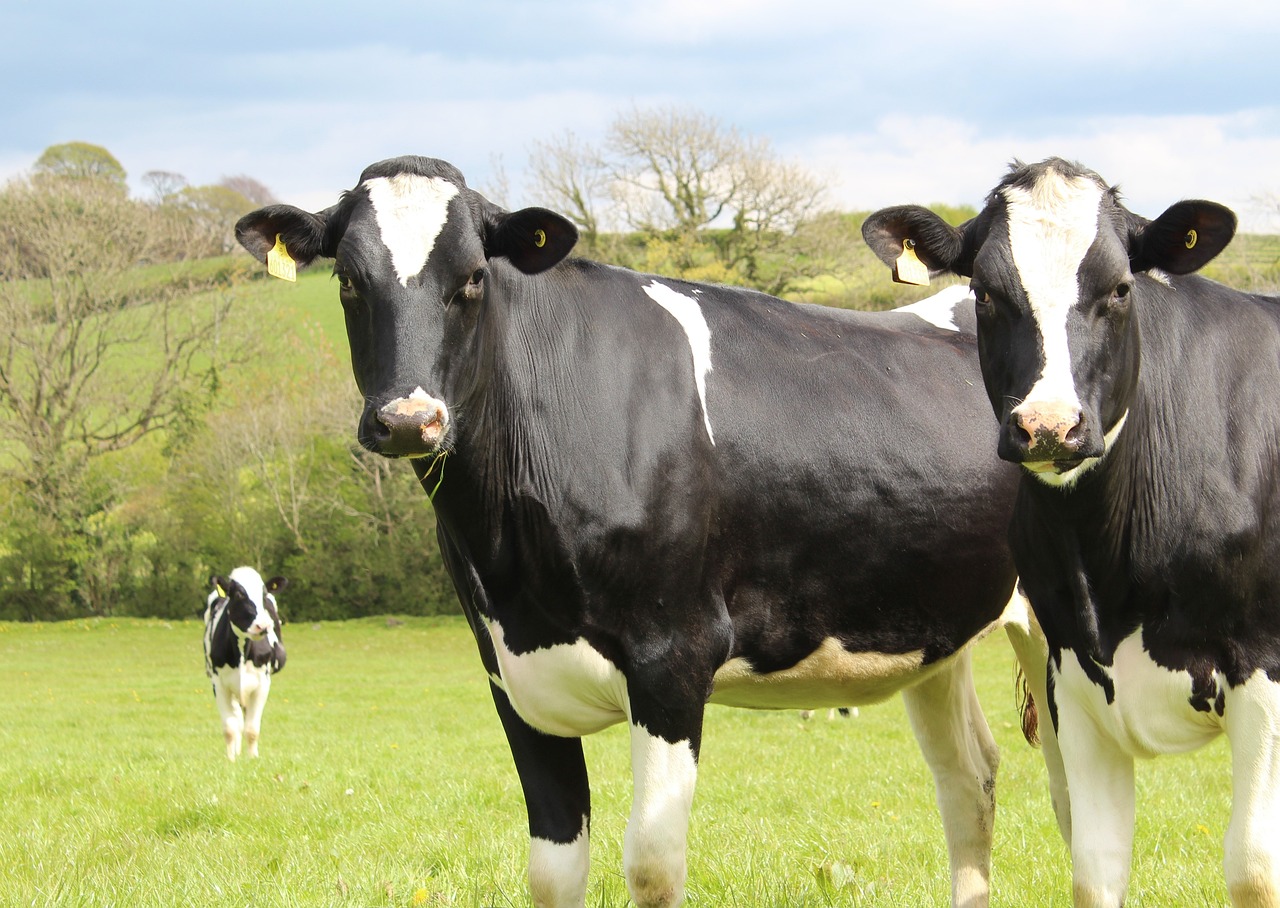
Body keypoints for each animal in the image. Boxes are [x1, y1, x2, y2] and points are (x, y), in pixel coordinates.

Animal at [200, 566, 286, 758]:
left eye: (263, 594)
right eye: (239, 594)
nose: (262, 626)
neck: (241, 653)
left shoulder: (262, 683)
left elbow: (252, 729)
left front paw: (253, 758)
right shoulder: (219, 684)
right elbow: (230, 727)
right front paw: (231, 758)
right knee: (238, 719)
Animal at [232, 157, 1070, 906]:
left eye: (471, 279)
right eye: (348, 280)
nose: (410, 419)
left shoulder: (674, 656)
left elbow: (652, 865)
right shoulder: (510, 673)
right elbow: (553, 871)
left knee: (1068, 787)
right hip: (931, 627)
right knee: (970, 778)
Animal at [865, 159, 1280, 901]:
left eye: (1120, 288)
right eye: (985, 293)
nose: (1049, 426)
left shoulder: (1264, 674)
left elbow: (1255, 869)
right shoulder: (1076, 679)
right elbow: (1096, 869)